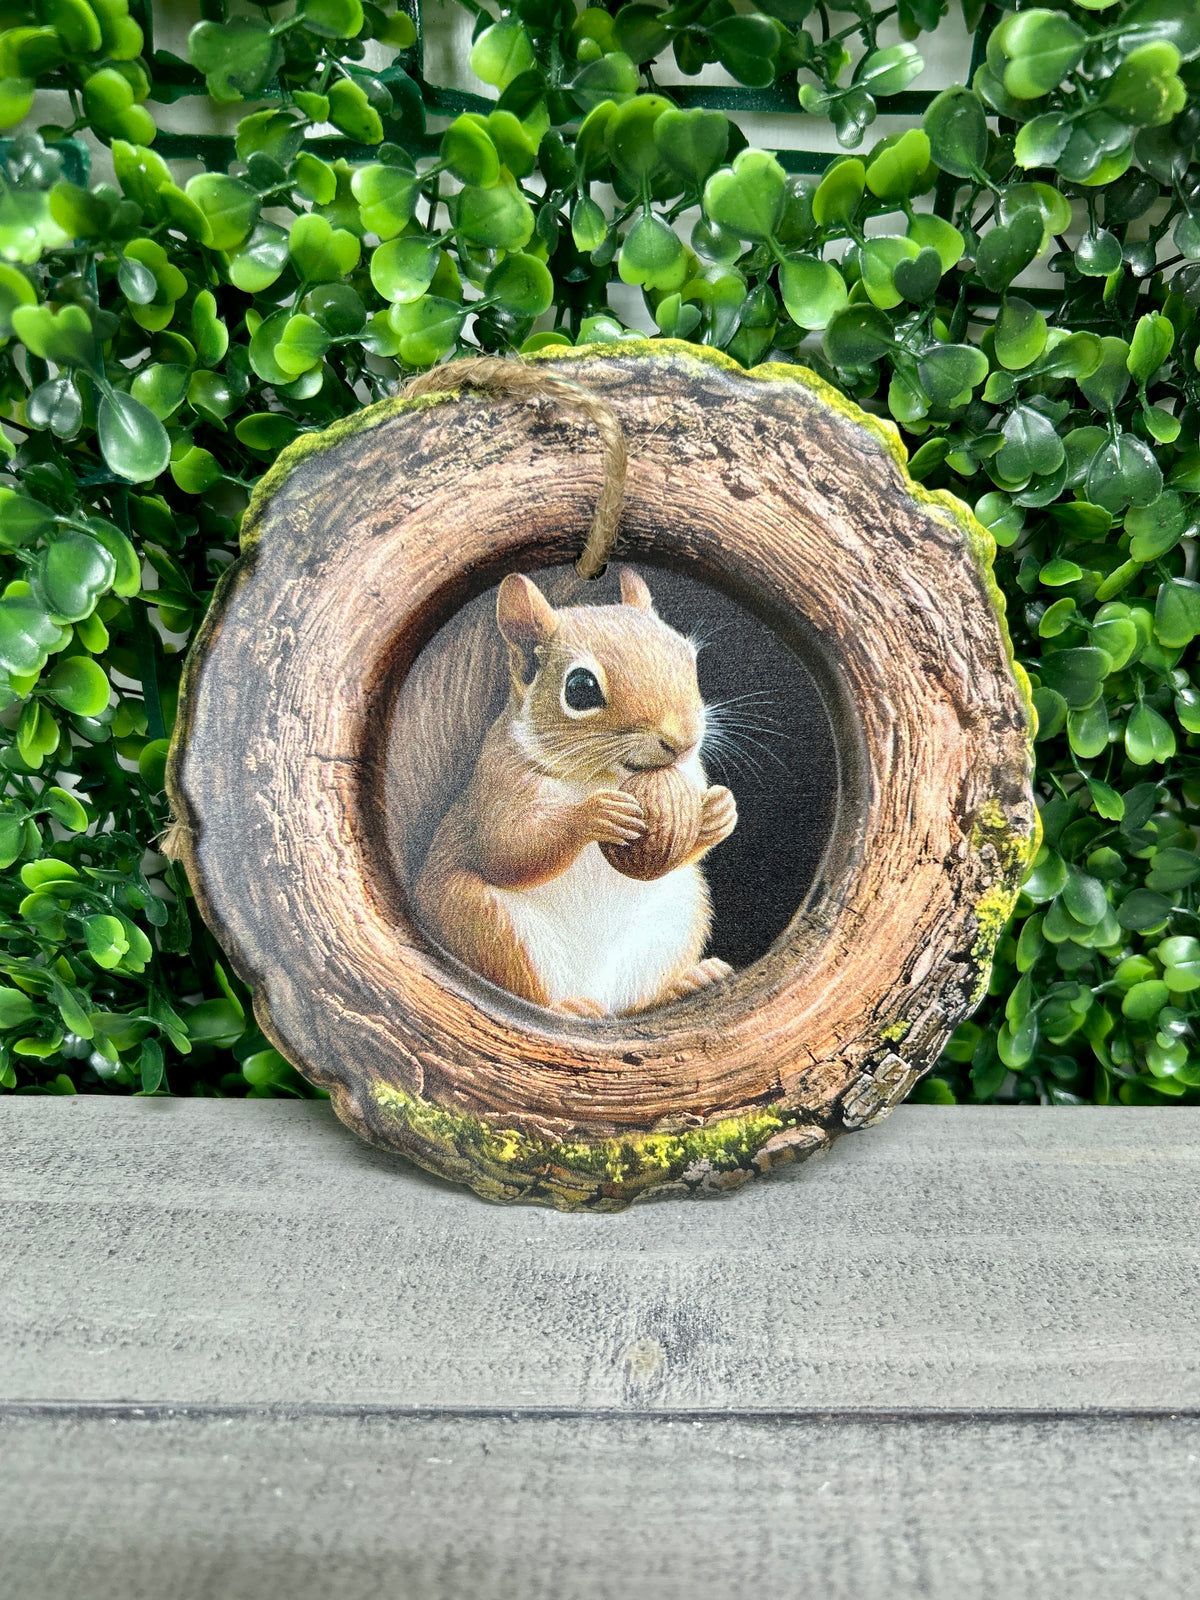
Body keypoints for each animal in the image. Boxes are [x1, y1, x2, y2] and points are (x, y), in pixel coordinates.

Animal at [404, 566, 738, 1017]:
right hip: (486, 923)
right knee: (526, 992)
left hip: (676, 918)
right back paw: (567, 1008)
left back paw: (687, 981)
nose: (684, 740)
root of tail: (595, 991)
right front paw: (595, 815)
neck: (601, 776)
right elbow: (507, 848)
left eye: (688, 657)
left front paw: (720, 810)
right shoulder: (497, 782)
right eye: (580, 688)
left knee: (631, 1005)